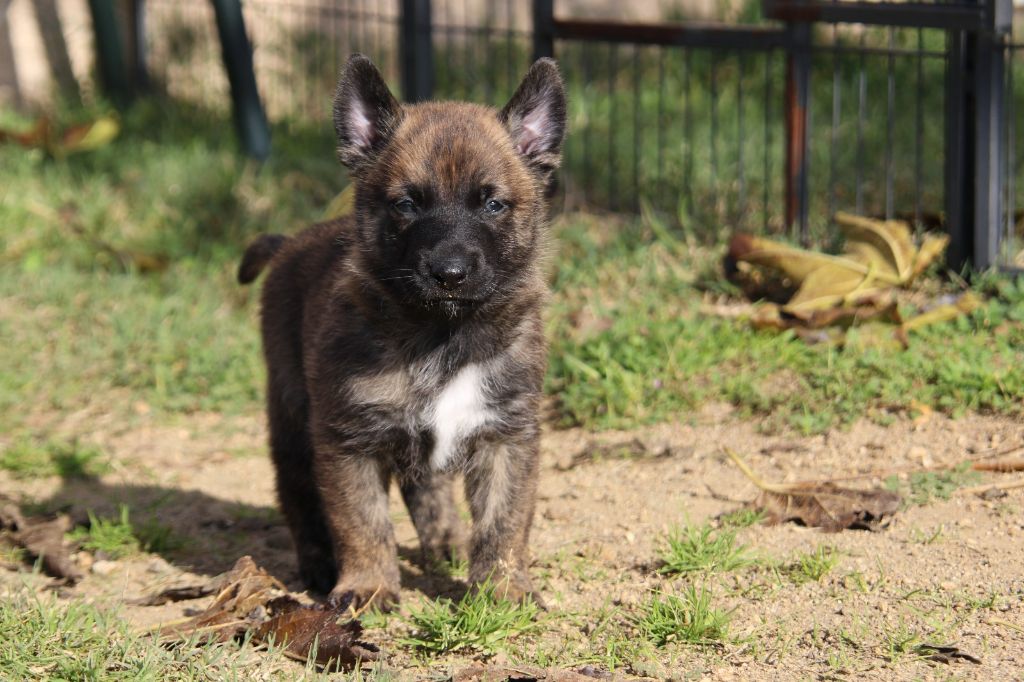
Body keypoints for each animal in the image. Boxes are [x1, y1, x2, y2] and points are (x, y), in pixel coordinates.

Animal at [239, 53, 569, 606]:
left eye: (493, 204)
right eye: (407, 204)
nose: (449, 273)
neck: (443, 334)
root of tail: (289, 243)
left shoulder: (506, 434)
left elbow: (504, 520)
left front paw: (502, 587)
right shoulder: (348, 441)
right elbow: (362, 522)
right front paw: (368, 585)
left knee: (426, 487)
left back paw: (447, 542)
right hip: (292, 418)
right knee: (298, 495)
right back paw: (319, 567)